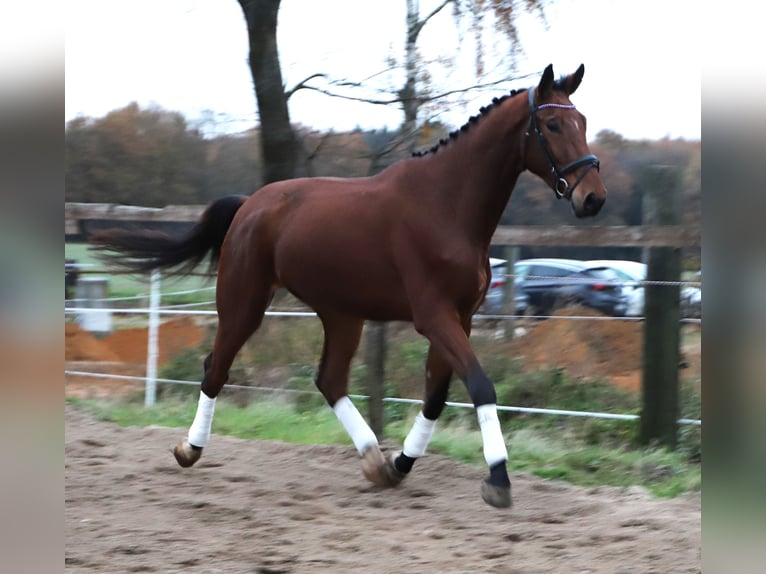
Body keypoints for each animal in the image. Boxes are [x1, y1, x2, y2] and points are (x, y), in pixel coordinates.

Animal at [91, 64, 605, 509]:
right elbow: (480, 384)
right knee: (216, 367)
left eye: (581, 120)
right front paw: (497, 478)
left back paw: (374, 460)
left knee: (329, 379)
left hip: (342, 314)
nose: (593, 198)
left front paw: (400, 463)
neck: (448, 206)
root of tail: (250, 204)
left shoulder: (460, 317)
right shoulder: (434, 316)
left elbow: (436, 395)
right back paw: (189, 449)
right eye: (553, 125)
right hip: (244, 303)